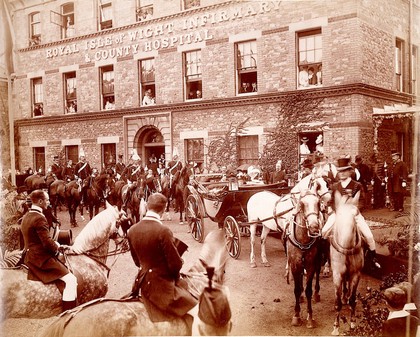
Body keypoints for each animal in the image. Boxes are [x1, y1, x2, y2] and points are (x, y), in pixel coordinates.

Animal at [328, 190, 364, 334]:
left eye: (356, 214)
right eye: (339, 214)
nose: (346, 242)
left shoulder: (356, 274)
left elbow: (353, 300)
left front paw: (353, 323)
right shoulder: (337, 274)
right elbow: (337, 302)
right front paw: (336, 327)